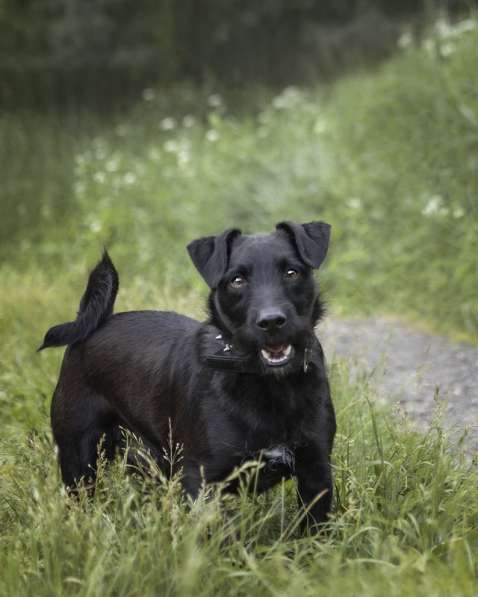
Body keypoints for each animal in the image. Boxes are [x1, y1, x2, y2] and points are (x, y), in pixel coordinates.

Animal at [41, 221, 336, 528]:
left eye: (292, 272)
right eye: (237, 280)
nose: (271, 321)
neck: (268, 384)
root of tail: (96, 324)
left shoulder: (316, 472)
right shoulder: (200, 480)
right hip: (79, 458)